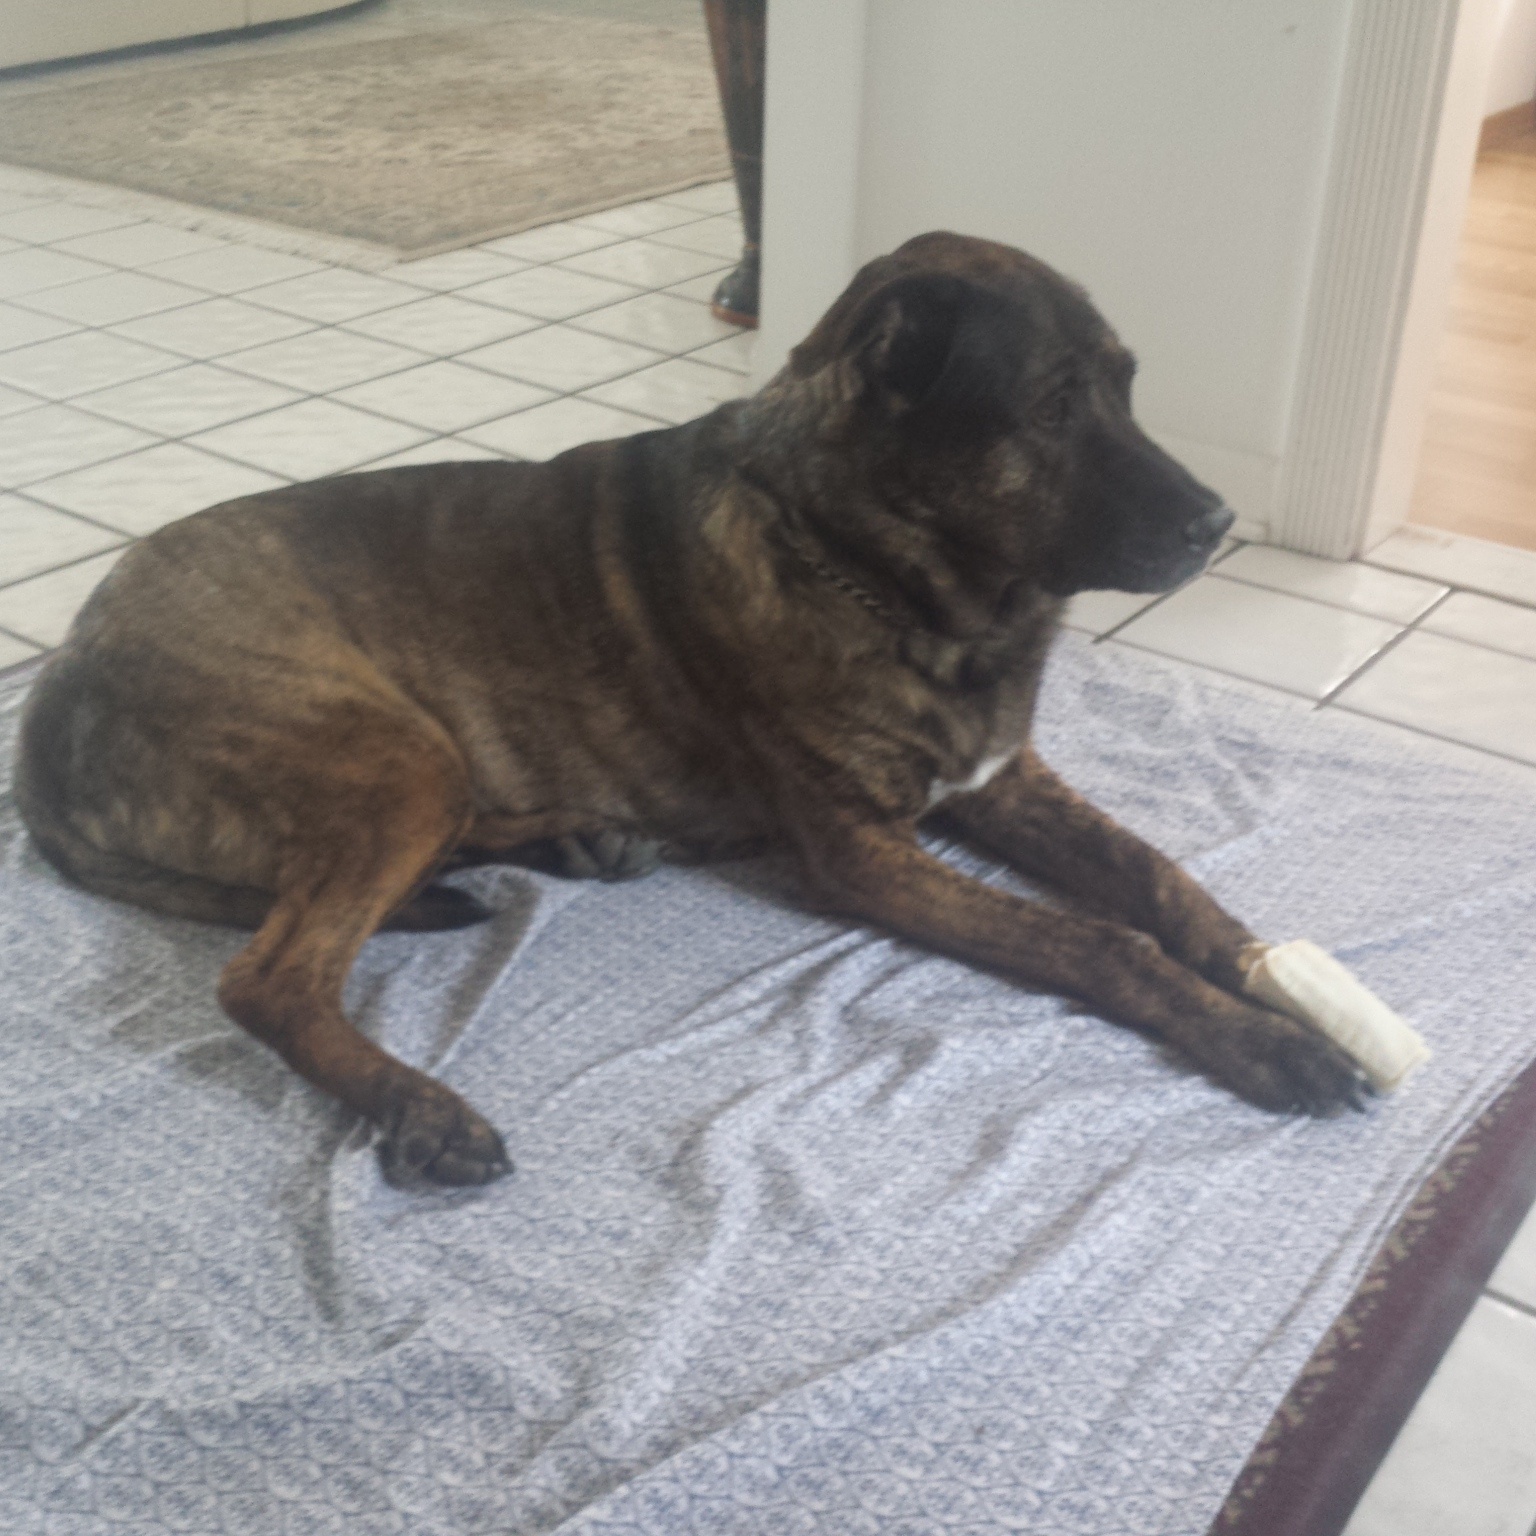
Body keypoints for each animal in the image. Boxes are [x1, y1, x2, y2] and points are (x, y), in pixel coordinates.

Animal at [15, 232, 1368, 1186]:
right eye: (1050, 407)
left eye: (1129, 389)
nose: (1215, 525)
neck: (873, 570)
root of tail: (59, 683)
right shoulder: (868, 853)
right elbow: (1100, 940)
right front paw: (1265, 1043)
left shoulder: (1007, 783)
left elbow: (1160, 883)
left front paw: (1282, 982)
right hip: (387, 756)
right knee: (270, 980)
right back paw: (423, 1107)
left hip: (423, 765)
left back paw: (577, 840)